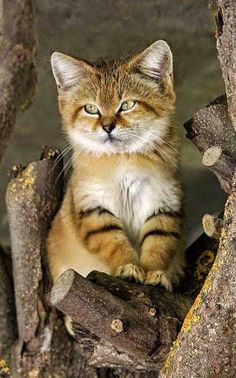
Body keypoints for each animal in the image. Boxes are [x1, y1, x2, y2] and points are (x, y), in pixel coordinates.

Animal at [47, 39, 185, 292]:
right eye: (91, 109)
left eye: (127, 105)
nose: (108, 127)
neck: (123, 159)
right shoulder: (93, 207)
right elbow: (114, 243)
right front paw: (128, 268)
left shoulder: (164, 204)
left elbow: (158, 244)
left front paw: (154, 274)